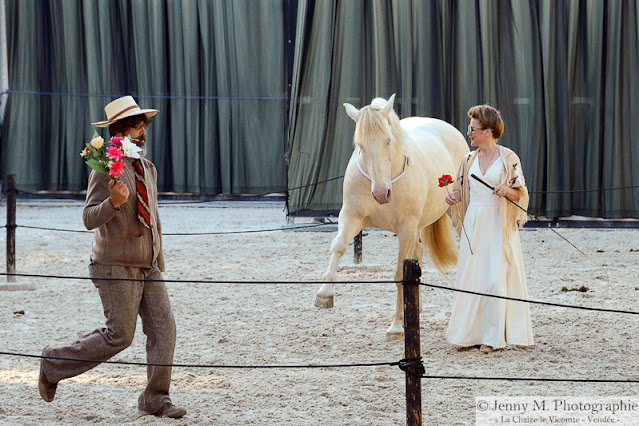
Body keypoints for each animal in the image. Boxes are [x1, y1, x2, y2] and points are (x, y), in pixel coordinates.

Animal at [316, 94, 470, 340]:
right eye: (360, 145)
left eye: (388, 141)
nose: (381, 193)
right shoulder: (351, 217)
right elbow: (338, 246)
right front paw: (324, 293)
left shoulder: (406, 228)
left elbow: (400, 273)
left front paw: (397, 325)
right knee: (417, 255)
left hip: (455, 215)